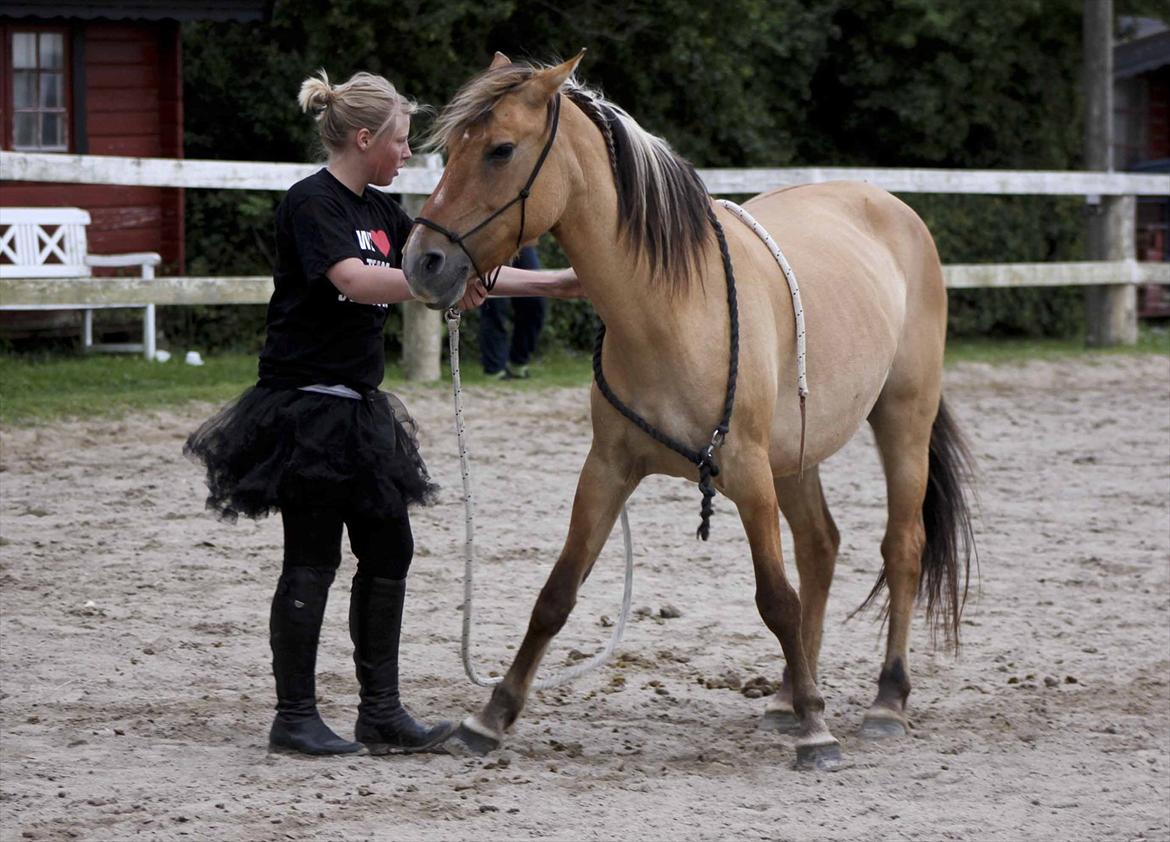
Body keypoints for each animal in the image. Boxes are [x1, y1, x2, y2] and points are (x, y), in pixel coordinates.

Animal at [407, 52, 973, 771]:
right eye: (452, 148)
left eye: (500, 150)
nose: (421, 262)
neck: (671, 310)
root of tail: (894, 208)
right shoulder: (607, 469)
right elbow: (556, 593)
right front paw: (492, 714)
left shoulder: (749, 476)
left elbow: (775, 600)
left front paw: (819, 733)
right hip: (797, 456)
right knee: (820, 547)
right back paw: (789, 697)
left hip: (902, 419)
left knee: (900, 548)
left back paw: (886, 700)